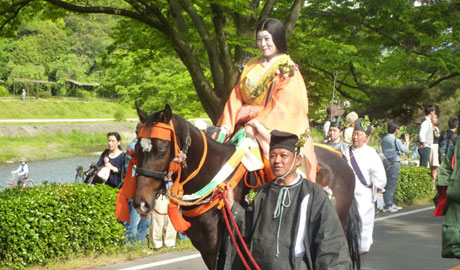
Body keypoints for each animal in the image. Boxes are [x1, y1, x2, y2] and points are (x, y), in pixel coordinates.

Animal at [132, 105, 360, 270]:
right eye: (137, 149)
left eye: (162, 151)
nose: (141, 203)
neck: (214, 174)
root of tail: (341, 158)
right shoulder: (206, 248)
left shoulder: (223, 246)